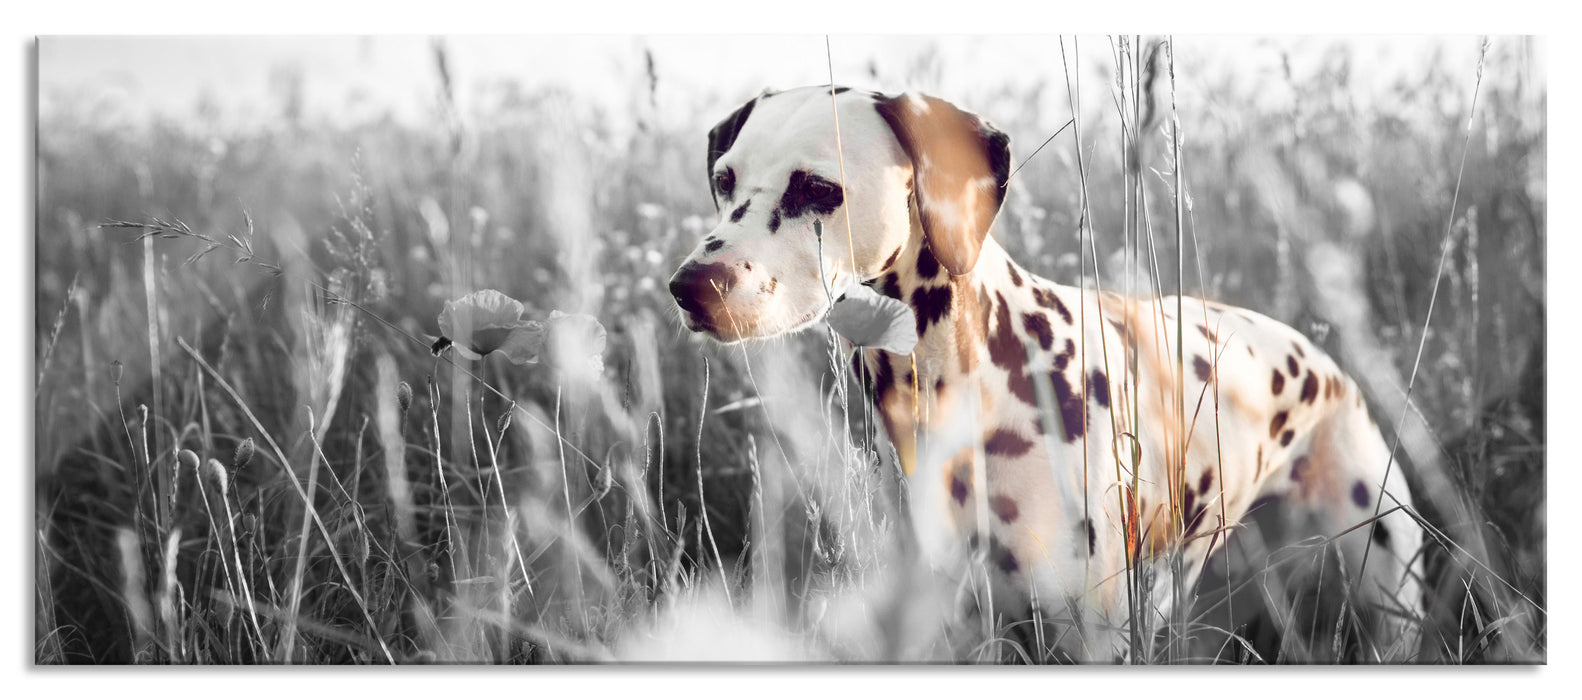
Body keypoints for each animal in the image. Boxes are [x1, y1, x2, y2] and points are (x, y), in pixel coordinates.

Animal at [664, 86, 1423, 661]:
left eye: (819, 188)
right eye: (725, 179)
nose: (690, 286)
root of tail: (1327, 362)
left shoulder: (1094, 633)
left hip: (1388, 588)